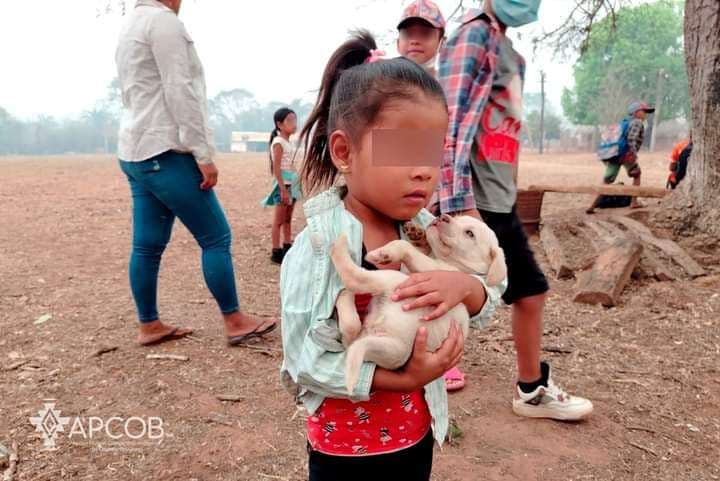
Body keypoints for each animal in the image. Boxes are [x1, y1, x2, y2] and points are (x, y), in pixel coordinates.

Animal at [332, 215, 506, 394]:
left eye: (470, 234)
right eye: (457, 217)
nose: (442, 217)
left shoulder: (433, 271)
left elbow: (405, 246)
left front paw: (388, 252)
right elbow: (415, 251)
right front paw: (417, 234)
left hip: (393, 281)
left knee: (355, 278)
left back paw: (341, 249)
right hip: (386, 345)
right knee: (351, 333)